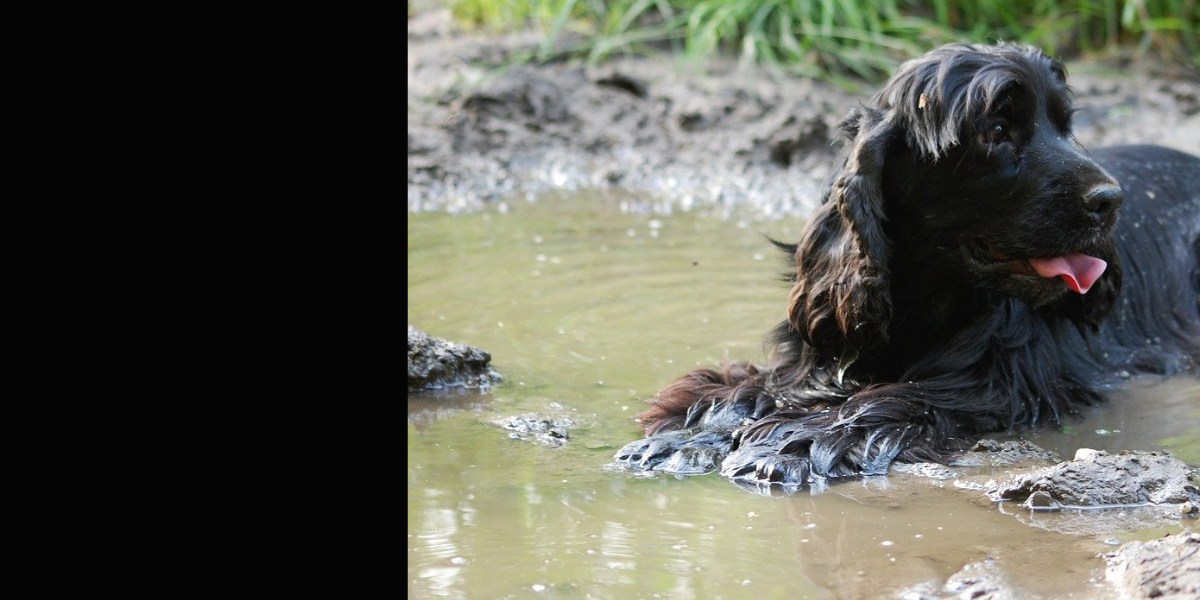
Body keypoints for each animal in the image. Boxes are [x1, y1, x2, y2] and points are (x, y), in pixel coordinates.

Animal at [614, 43, 1195, 492]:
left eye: (1064, 124)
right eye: (997, 128)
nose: (1111, 201)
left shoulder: (999, 381)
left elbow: (901, 398)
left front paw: (794, 442)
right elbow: (760, 387)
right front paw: (690, 433)